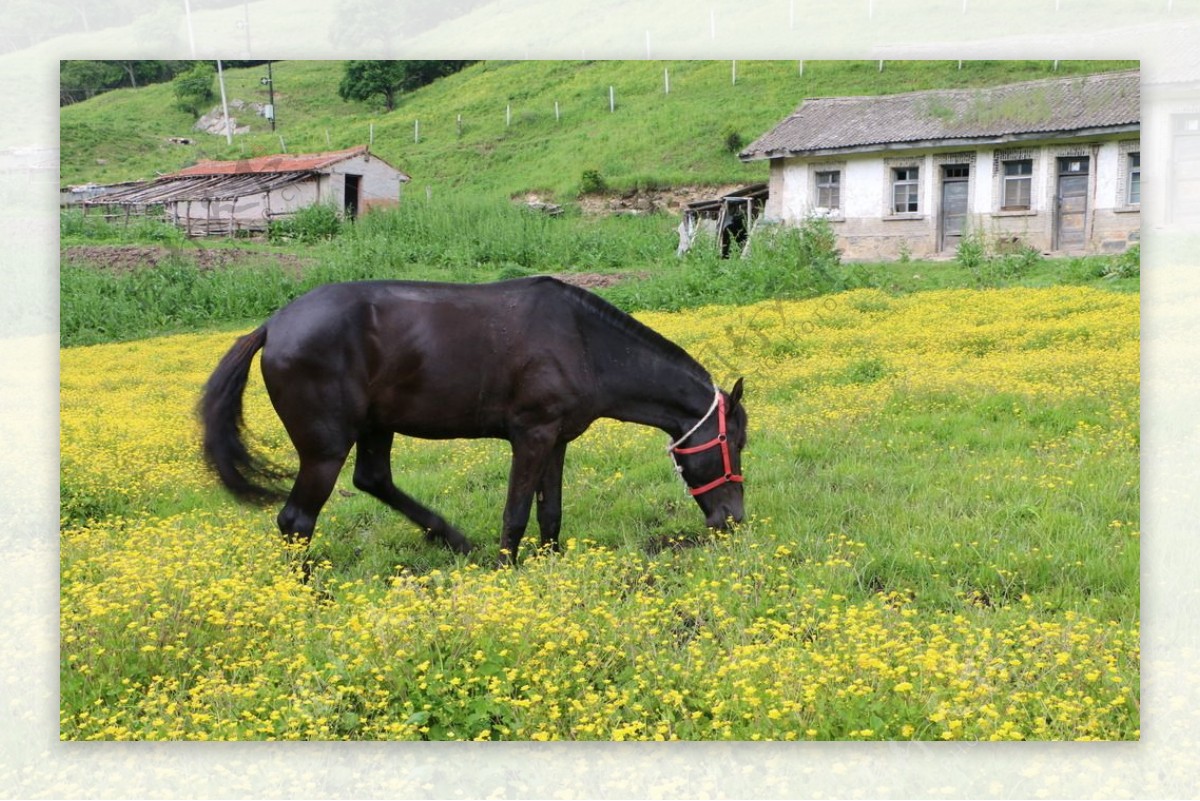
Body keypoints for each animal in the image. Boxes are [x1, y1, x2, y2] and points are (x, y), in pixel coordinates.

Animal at [201, 278, 744, 565]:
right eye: (736, 442)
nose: (733, 520)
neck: (584, 342)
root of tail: (273, 326)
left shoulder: (557, 438)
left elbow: (550, 512)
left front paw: (550, 563)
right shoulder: (531, 435)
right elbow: (516, 514)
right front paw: (508, 571)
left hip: (376, 426)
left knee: (373, 479)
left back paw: (452, 537)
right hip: (325, 449)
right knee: (296, 521)